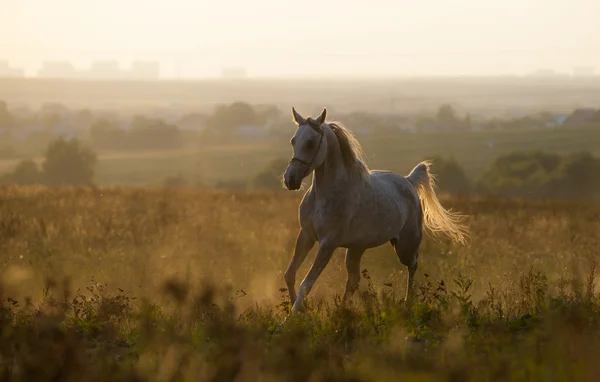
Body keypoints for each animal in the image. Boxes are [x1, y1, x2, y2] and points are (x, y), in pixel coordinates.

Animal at [282, 106, 468, 316]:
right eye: (293, 140)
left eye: (311, 142)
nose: (290, 180)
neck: (325, 195)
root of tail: (408, 180)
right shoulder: (306, 235)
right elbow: (290, 275)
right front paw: (300, 312)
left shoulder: (327, 244)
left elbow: (306, 284)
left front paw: (290, 319)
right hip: (357, 248)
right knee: (353, 281)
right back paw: (343, 311)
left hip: (405, 246)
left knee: (412, 266)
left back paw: (408, 304)